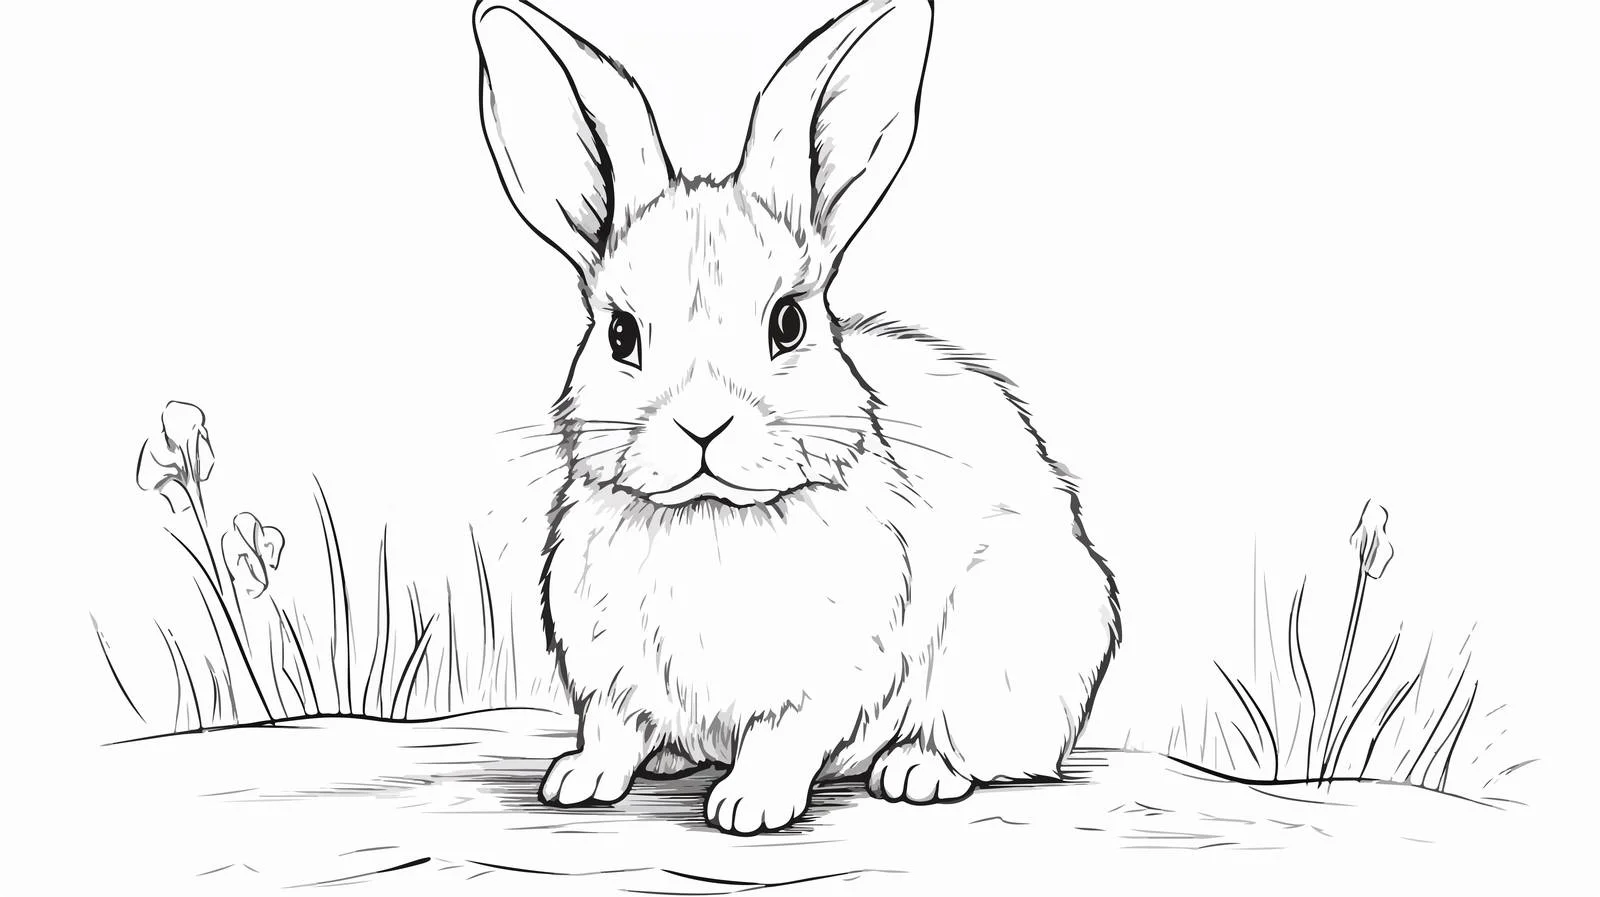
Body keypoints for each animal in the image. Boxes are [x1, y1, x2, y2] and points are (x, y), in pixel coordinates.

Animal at [473, 0, 1120, 834]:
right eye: (619, 333)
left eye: (788, 322)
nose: (703, 427)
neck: (709, 516)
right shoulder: (610, 674)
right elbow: (612, 730)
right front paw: (577, 782)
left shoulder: (821, 681)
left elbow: (780, 738)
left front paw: (749, 807)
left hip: (1009, 661)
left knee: (987, 748)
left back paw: (917, 771)